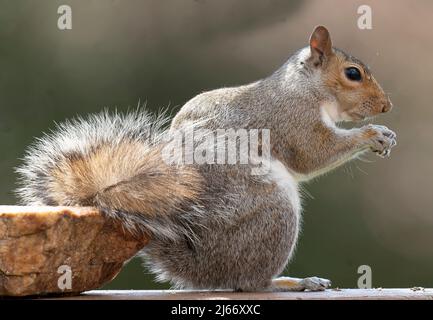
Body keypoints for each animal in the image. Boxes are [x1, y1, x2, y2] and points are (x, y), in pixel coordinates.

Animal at [16, 26, 394, 292]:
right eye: (353, 73)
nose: (386, 106)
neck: (303, 87)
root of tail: (201, 266)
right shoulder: (291, 119)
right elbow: (313, 154)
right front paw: (373, 134)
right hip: (272, 210)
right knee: (248, 283)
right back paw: (291, 283)